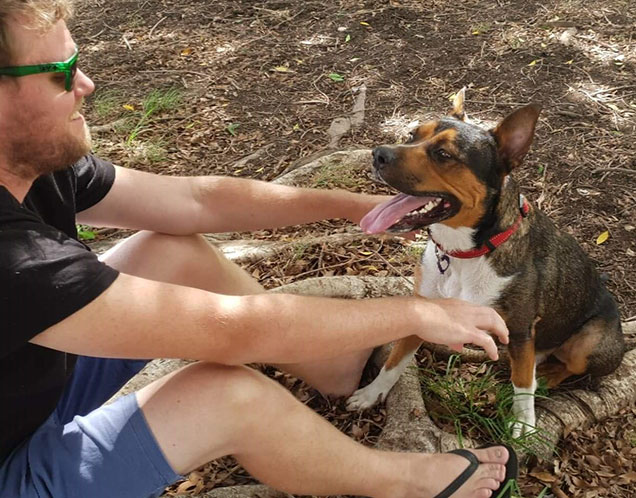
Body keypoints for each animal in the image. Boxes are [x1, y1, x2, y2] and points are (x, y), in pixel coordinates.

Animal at [346, 89, 624, 436]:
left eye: (444, 154)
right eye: (413, 135)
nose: (377, 154)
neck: (464, 254)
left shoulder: (519, 329)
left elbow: (522, 385)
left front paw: (524, 426)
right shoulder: (424, 309)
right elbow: (395, 359)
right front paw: (372, 393)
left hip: (589, 342)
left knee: (567, 366)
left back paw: (548, 376)